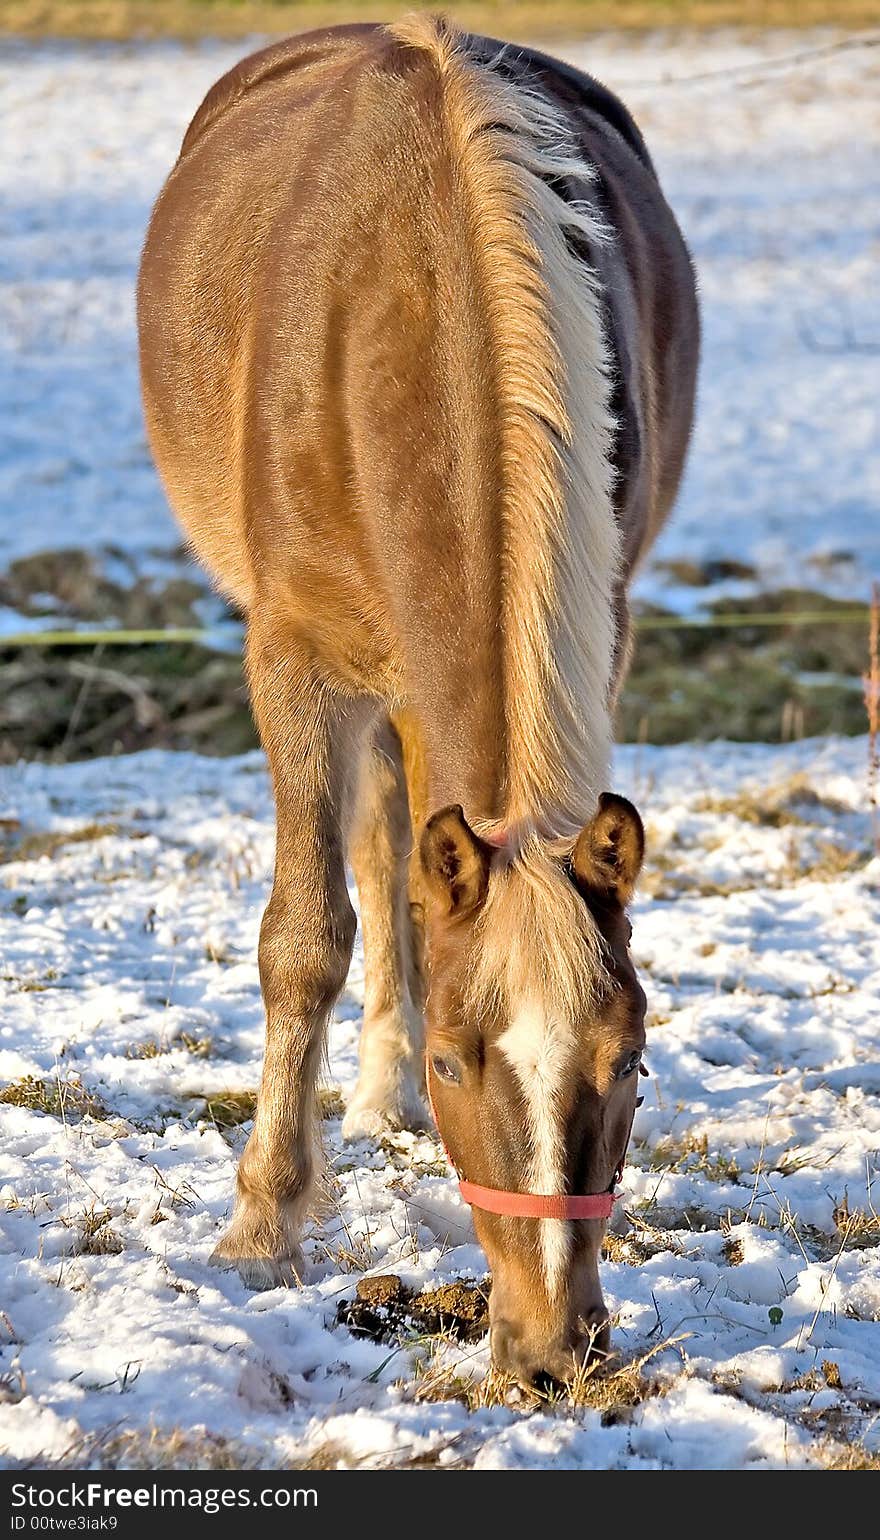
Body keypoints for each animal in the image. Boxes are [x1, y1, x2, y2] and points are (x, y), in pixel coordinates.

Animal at [137, 15, 699, 1386]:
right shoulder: (292, 661)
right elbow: (306, 938)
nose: (554, 1348)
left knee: (398, 846)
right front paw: (263, 1221)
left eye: (633, 1062)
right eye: (458, 1057)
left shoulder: (605, 627)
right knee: (381, 849)